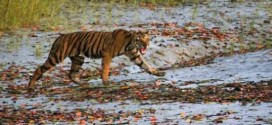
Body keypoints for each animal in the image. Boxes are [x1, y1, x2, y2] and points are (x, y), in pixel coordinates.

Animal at [28, 29, 167, 88]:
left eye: (147, 39)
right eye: (140, 39)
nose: (145, 45)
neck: (130, 44)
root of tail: (59, 37)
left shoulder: (134, 55)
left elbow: (145, 65)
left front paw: (158, 73)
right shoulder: (107, 54)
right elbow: (105, 69)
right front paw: (106, 82)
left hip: (78, 59)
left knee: (71, 74)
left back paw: (83, 83)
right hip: (57, 56)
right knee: (40, 68)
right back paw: (30, 85)